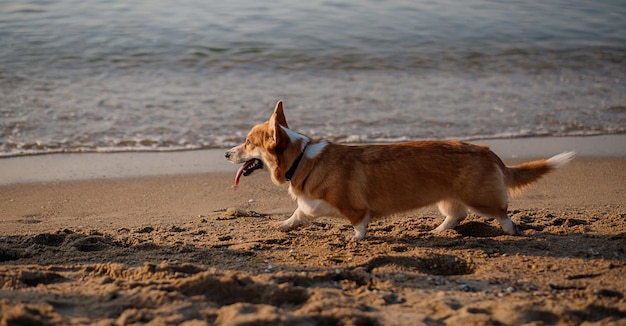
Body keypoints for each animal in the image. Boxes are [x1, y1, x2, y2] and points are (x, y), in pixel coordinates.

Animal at [225, 100, 576, 239]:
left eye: (247, 142)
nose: (226, 153)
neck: (302, 159)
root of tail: (490, 152)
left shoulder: (355, 209)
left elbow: (359, 224)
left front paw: (356, 239)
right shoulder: (310, 206)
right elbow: (299, 215)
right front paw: (284, 225)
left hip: (481, 198)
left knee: (502, 213)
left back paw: (509, 232)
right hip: (448, 199)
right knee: (456, 215)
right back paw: (437, 231)